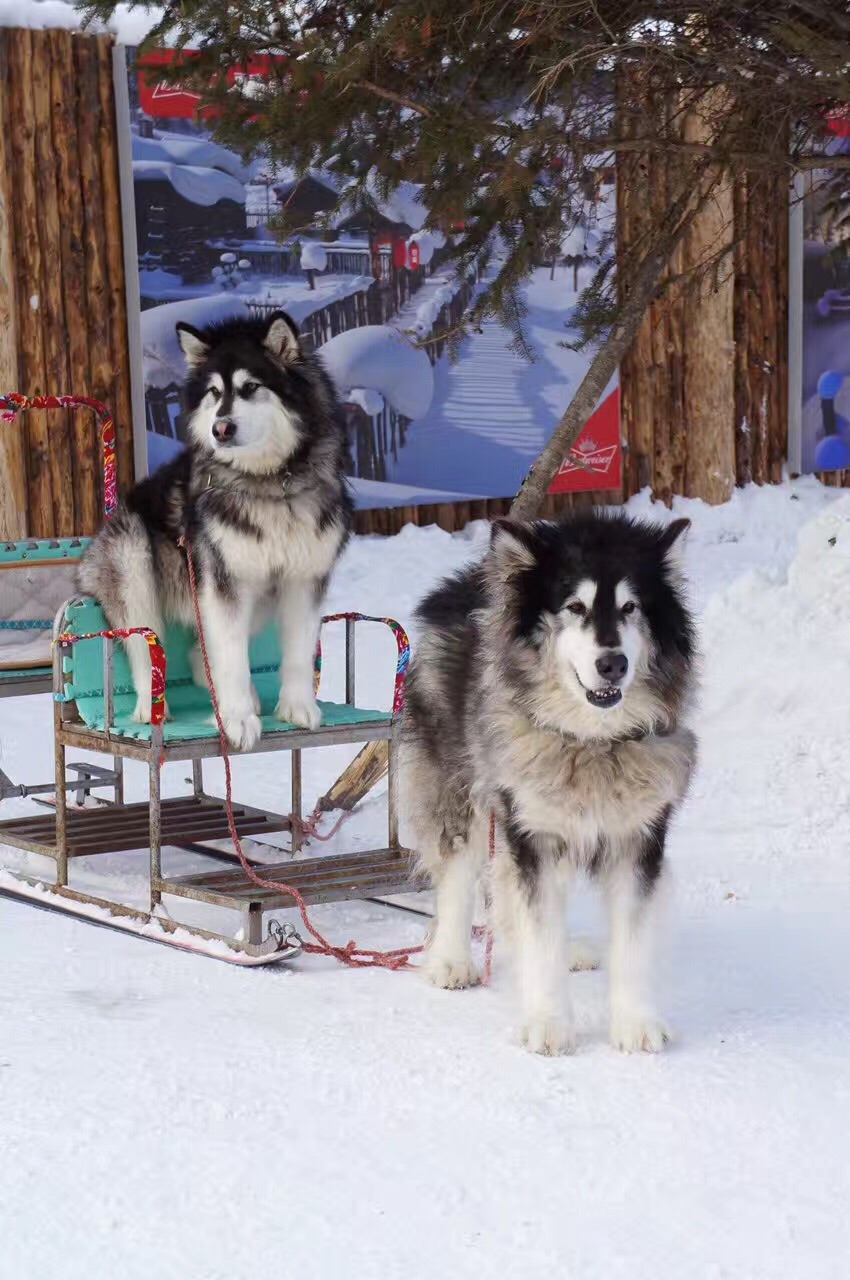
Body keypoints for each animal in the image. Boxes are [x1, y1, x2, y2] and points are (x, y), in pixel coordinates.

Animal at [75, 309, 348, 747]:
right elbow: (231, 657)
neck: (269, 484)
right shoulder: (222, 582)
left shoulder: (305, 577)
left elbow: (299, 652)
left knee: (198, 653)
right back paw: (151, 706)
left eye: (251, 388)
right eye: (215, 394)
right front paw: (236, 721)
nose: (221, 429)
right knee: (144, 643)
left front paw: (297, 707)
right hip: (133, 559)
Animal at [404, 514, 696, 1054]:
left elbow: (633, 940)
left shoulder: (638, 837)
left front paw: (634, 1022)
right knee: (459, 871)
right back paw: (451, 959)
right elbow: (539, 933)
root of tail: (466, 581)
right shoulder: (532, 832)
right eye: (575, 607)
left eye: (630, 608)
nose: (612, 663)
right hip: (460, 787)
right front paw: (548, 1021)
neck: (593, 743)